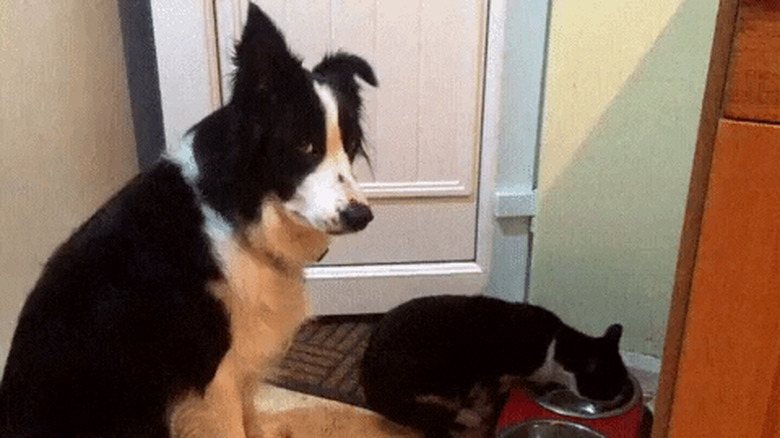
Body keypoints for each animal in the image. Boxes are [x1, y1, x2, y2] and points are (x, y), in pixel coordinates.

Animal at [360, 294, 628, 438]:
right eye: (612, 385)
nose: (618, 397)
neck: (556, 346)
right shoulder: (488, 373)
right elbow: (486, 394)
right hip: (440, 374)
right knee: (428, 413)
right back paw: (469, 417)